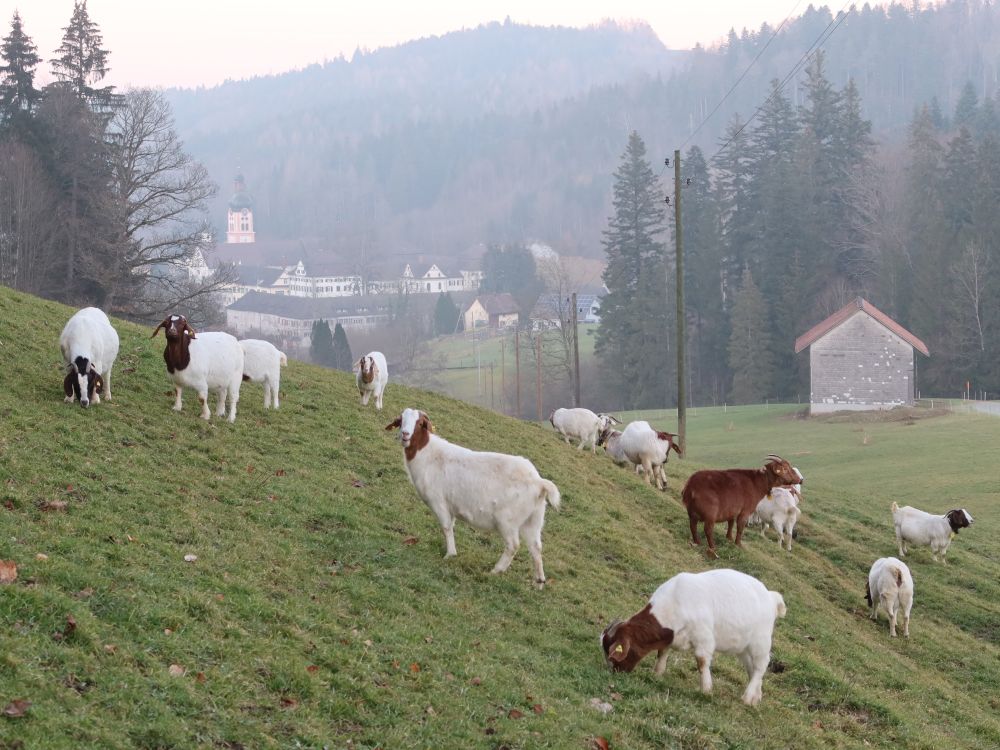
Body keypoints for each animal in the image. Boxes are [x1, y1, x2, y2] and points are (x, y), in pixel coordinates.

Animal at [386, 408, 564, 592]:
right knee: (536, 547)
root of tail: (538, 482)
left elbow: (446, 527)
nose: (405, 434)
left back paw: (496, 570)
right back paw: (539, 581)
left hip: (507, 520)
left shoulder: (439, 502)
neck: (428, 454)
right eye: (401, 420)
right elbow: (451, 526)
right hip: (533, 520)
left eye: (420, 423)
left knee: (513, 545)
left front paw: (450, 554)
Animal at [600, 572, 788, 708]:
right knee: (753, 668)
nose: (615, 672)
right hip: (743, 647)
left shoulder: (704, 638)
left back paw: (747, 698)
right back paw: (756, 697)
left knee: (761, 665)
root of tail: (771, 597)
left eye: (614, 654)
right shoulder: (671, 637)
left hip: (761, 642)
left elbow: (702, 662)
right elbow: (662, 652)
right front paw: (658, 673)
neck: (674, 602)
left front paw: (706, 689)